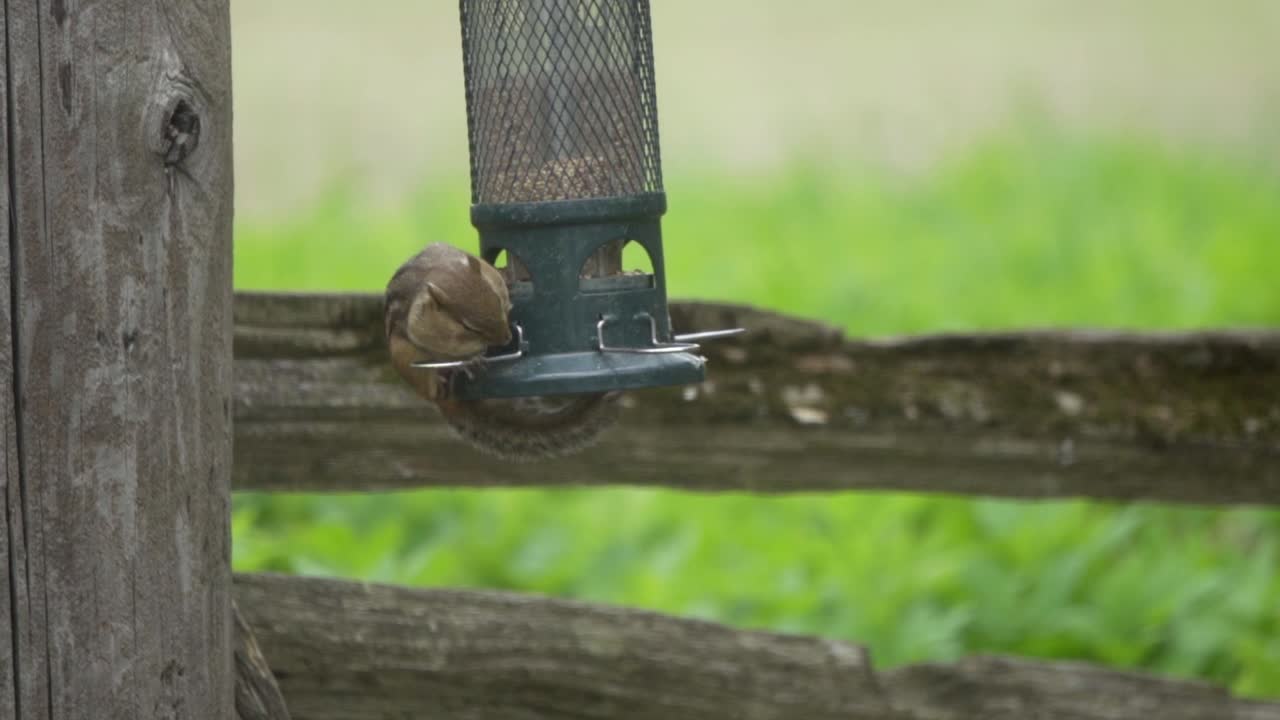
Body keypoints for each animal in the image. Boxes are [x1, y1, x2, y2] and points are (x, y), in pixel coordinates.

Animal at [384, 242, 618, 460]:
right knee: (433, 387)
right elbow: (445, 351)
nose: (506, 337)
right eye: (468, 327)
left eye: (496, 298)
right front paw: (469, 360)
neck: (440, 270)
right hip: (404, 357)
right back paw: (445, 380)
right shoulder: (419, 329)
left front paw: (506, 276)